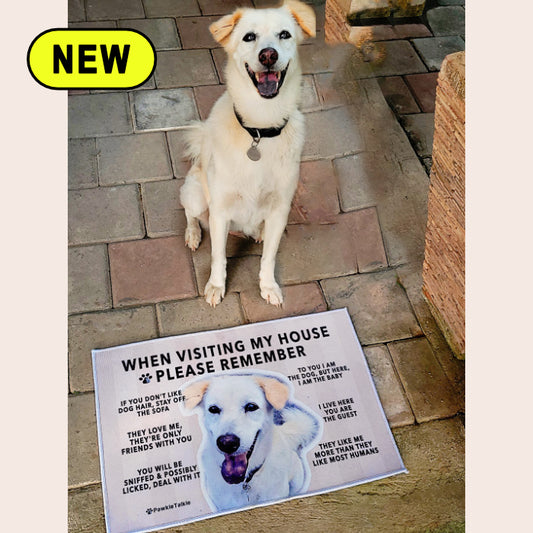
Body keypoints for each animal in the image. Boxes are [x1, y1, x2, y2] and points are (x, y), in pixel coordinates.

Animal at [180, 0, 316, 306]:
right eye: (249, 37)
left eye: (284, 34)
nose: (268, 55)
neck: (259, 131)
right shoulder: (219, 210)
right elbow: (218, 257)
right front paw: (216, 286)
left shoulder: (279, 210)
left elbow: (268, 258)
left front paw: (268, 287)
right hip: (195, 194)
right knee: (190, 214)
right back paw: (193, 234)